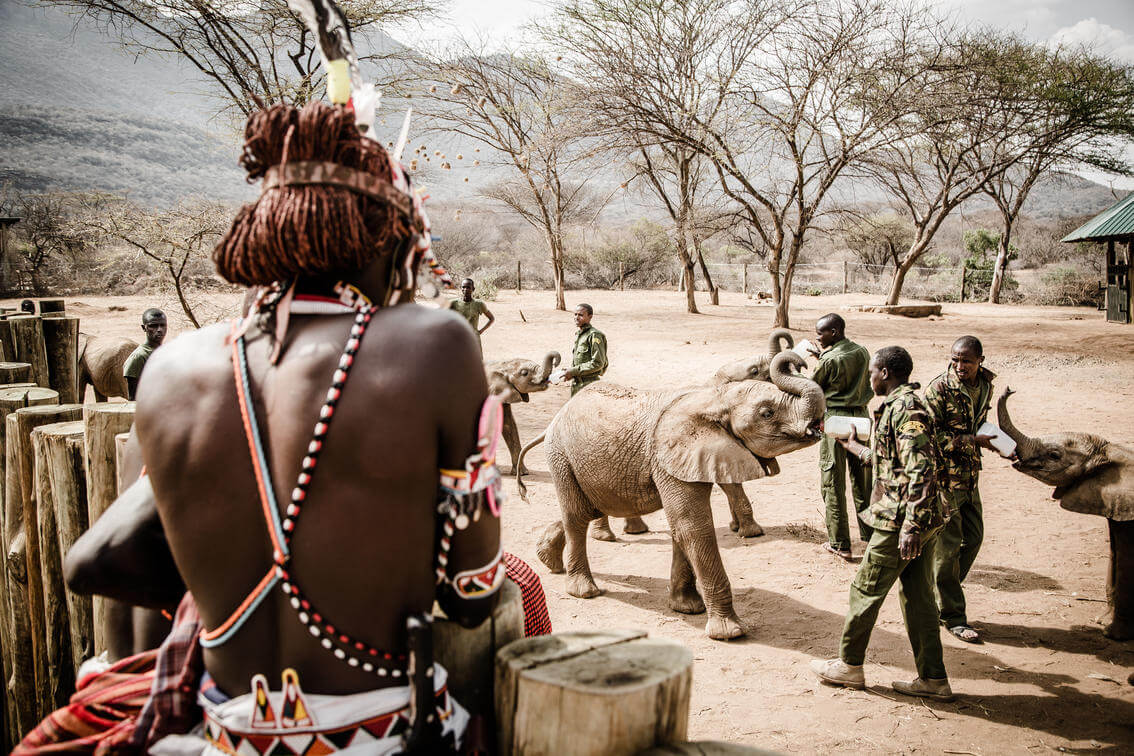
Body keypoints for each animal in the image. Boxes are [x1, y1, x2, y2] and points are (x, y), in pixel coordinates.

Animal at [1002, 387, 1134, 643]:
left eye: (1054, 455)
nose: (1009, 389)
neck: (1112, 452)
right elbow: (1115, 554)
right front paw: (1102, 622)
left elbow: (1126, 559)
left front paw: (1112, 634)